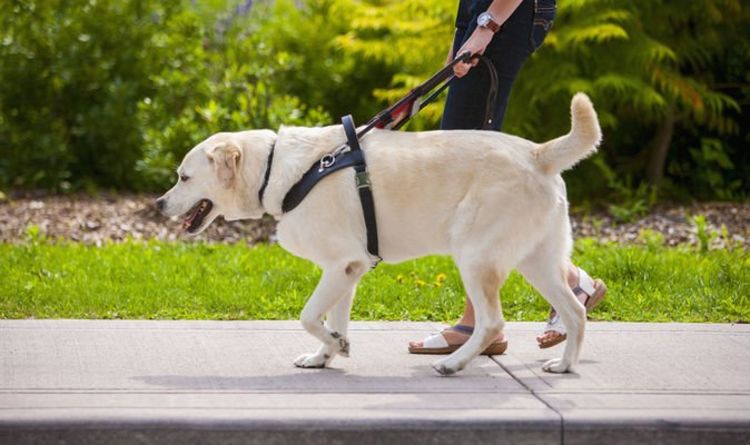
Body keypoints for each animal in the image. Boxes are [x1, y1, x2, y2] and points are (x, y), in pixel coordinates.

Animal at [156, 93, 604, 374]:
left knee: (493, 322)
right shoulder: (348, 269)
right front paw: (327, 352)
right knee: (575, 311)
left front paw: (334, 345)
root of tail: (537, 153)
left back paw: (453, 363)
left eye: (183, 177)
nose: (158, 204)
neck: (274, 168)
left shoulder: (342, 263)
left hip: (476, 257)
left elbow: (307, 315)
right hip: (537, 261)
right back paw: (565, 364)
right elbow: (332, 317)